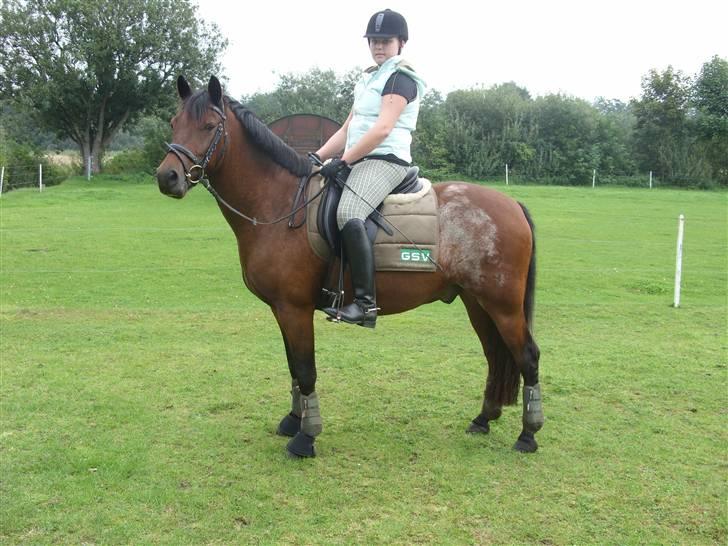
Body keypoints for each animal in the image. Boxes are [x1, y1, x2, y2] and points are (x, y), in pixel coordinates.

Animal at [156, 76, 544, 456]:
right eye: (175, 123)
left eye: (209, 126)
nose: (167, 177)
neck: (280, 204)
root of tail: (512, 204)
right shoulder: (281, 309)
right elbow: (293, 368)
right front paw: (294, 420)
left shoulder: (294, 309)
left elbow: (305, 370)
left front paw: (306, 437)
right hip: (476, 302)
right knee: (495, 354)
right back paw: (484, 418)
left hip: (502, 305)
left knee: (527, 356)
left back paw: (528, 434)